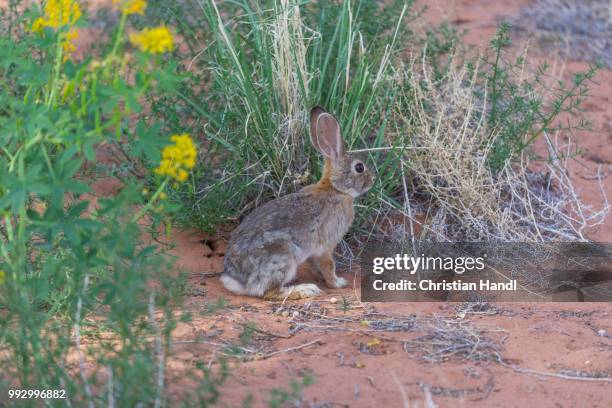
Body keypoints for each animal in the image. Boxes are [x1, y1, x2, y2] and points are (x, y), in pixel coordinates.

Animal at [220, 107, 372, 300]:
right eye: (359, 167)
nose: (372, 180)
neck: (336, 189)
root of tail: (237, 281)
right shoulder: (326, 247)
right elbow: (329, 266)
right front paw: (338, 283)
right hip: (283, 256)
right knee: (268, 292)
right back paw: (305, 289)